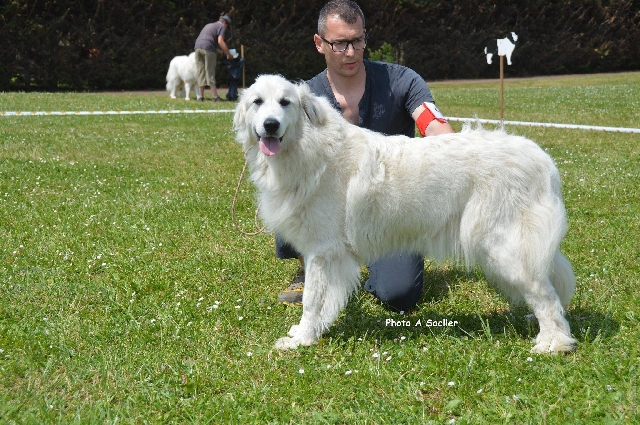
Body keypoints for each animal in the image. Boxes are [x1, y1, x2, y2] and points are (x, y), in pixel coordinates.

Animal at [232, 74, 576, 352]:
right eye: (257, 102)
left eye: (285, 102)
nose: (270, 125)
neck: (309, 147)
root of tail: (543, 159)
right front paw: (312, 332)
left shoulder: (322, 251)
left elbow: (313, 300)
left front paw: (302, 339)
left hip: (504, 246)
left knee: (544, 293)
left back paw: (553, 343)